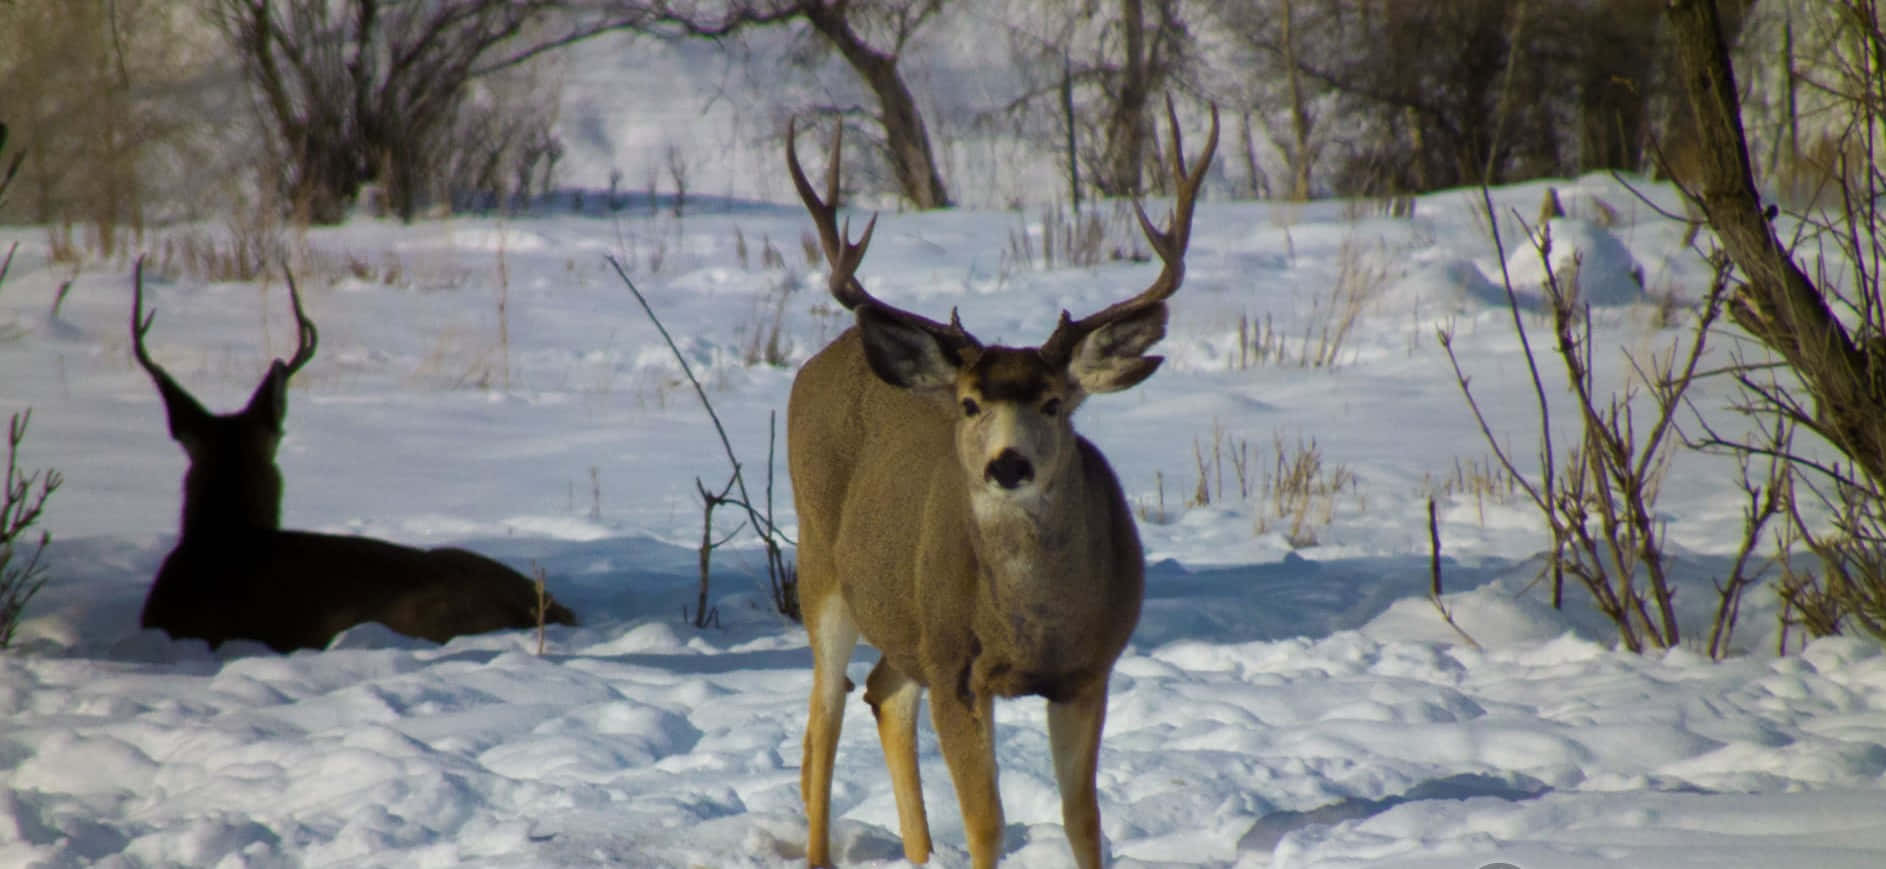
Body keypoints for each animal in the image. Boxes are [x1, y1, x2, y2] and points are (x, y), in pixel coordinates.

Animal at [786, 101, 1217, 869]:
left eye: (1053, 402)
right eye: (968, 404)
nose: (1007, 465)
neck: (1030, 625)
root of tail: (826, 357)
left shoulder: (1088, 671)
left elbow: (1083, 820)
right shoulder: (958, 666)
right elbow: (986, 822)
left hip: (905, 623)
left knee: (883, 695)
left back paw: (921, 853)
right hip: (821, 565)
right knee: (821, 721)